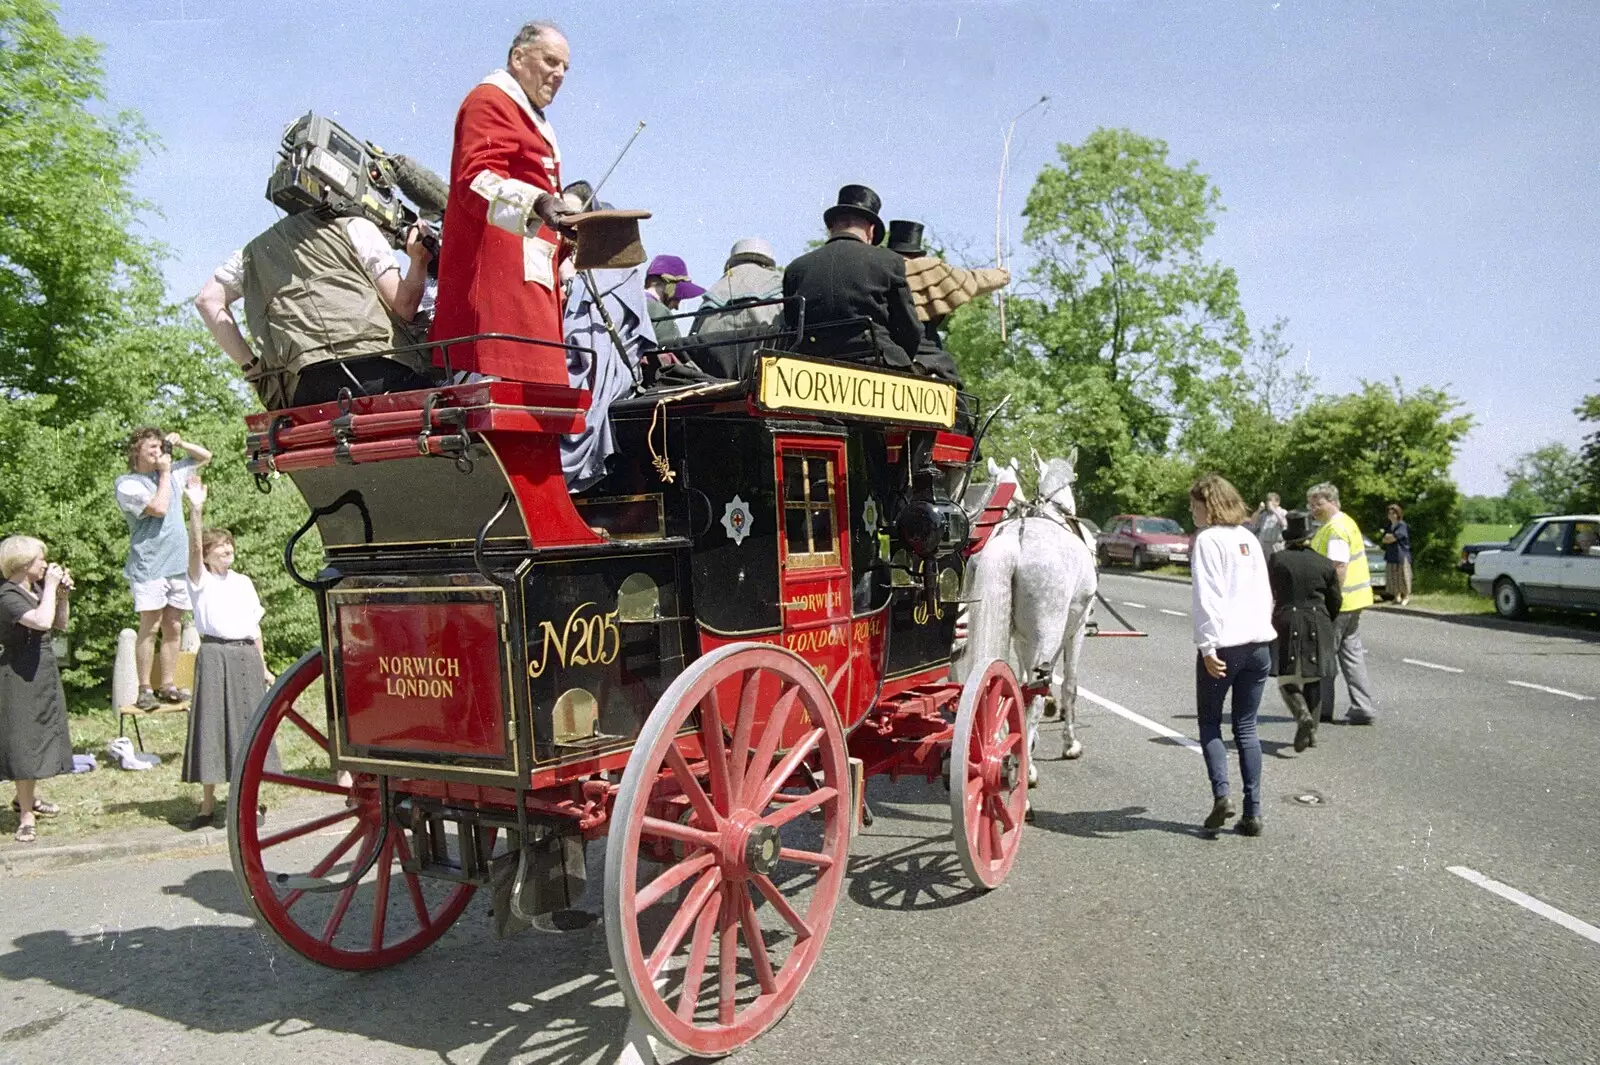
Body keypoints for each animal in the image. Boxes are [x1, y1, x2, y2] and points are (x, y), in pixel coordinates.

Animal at [953, 447, 1094, 764]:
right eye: (1076, 478)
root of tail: (1014, 543)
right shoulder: (1076, 627)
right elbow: (1070, 684)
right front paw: (1070, 743)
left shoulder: (1021, 635)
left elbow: (1018, 675)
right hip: (1051, 627)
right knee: (1035, 694)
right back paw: (1023, 764)